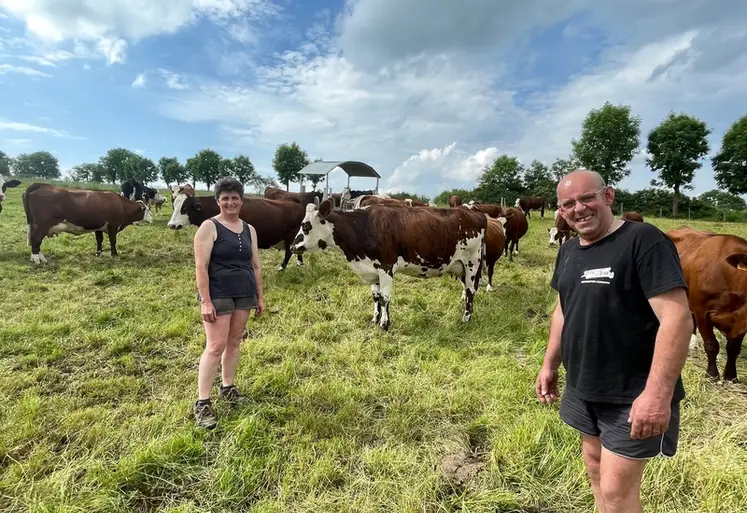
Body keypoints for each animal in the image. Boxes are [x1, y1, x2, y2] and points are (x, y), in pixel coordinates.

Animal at [22, 182, 153, 264]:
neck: (120, 204)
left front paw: (99, 253)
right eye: (147, 209)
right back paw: (38, 260)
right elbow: (113, 241)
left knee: (35, 242)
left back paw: (38, 259)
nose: (151, 219)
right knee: (36, 240)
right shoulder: (113, 224)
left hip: (35, 225)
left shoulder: (99, 226)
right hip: (41, 225)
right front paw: (114, 254)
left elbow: (99, 240)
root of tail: (39, 185)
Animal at [290, 198, 488, 330]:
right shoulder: (373, 270)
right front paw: (375, 320)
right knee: (467, 290)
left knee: (470, 291)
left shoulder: (386, 267)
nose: (292, 247)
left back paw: (466, 319)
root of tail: (474, 212)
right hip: (460, 266)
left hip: (472, 263)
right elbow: (376, 297)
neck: (363, 227)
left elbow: (385, 298)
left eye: (306, 226)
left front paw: (385, 325)